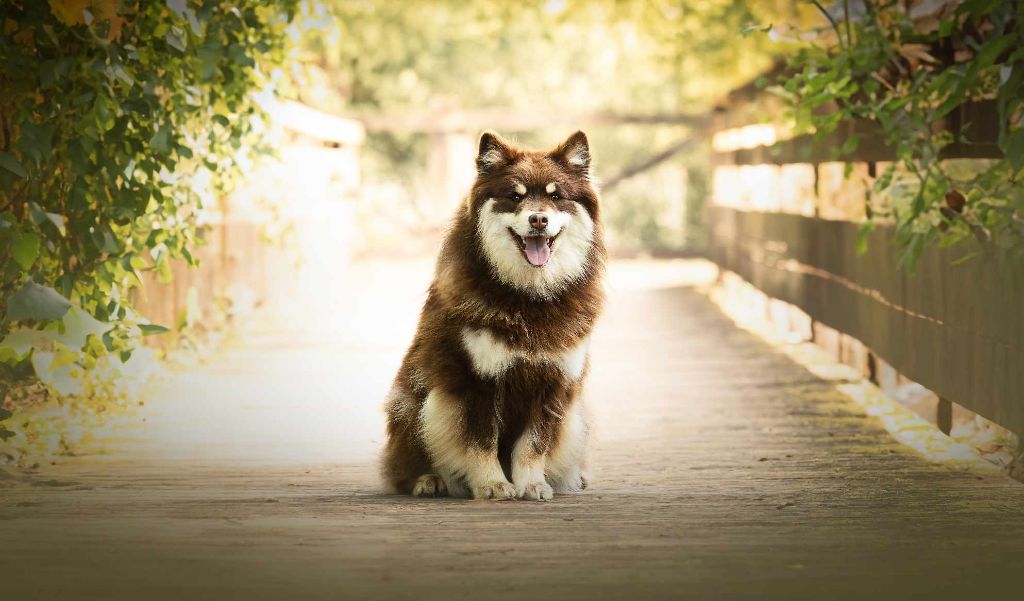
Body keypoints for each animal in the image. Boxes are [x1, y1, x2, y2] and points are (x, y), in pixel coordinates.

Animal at [385, 132, 606, 503]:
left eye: (556, 196)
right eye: (514, 196)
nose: (538, 219)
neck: (529, 297)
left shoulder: (552, 383)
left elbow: (533, 444)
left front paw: (531, 484)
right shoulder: (478, 380)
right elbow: (481, 441)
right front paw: (492, 484)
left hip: (574, 420)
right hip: (419, 402)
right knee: (402, 466)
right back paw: (429, 479)